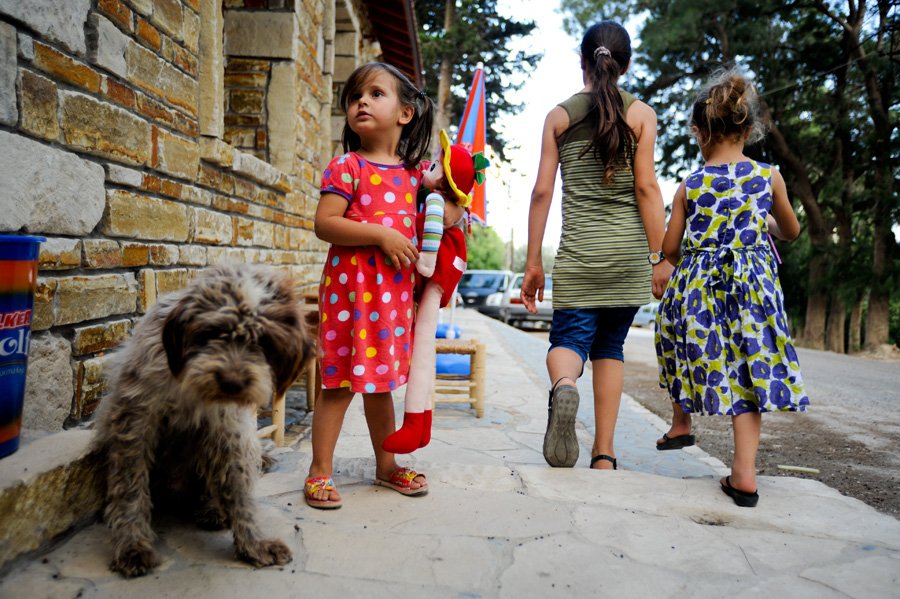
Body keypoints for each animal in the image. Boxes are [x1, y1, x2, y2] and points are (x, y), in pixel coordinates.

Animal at [94, 266, 312, 576]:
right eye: (213, 332)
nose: (232, 383)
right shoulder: (135, 422)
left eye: (263, 341)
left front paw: (253, 543)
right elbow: (130, 489)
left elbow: (239, 489)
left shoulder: (229, 430)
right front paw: (132, 545)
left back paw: (215, 510)